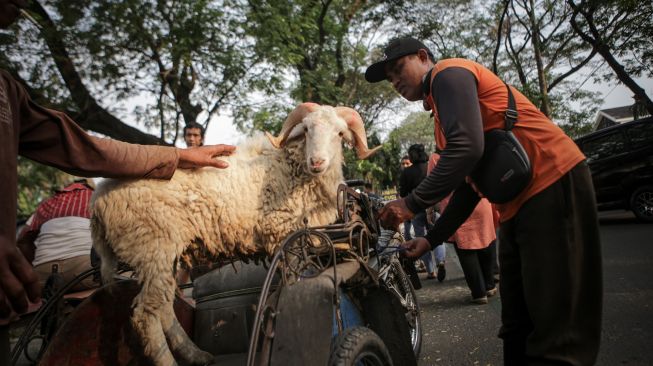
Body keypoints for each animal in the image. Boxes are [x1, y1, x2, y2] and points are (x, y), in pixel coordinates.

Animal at [89, 103, 380, 366]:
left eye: (340, 134)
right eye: (307, 129)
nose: (317, 162)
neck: (291, 167)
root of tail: (98, 200)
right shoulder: (282, 235)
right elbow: (294, 283)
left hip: (163, 255)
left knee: (163, 308)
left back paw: (197, 355)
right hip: (152, 247)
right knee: (145, 315)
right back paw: (170, 361)